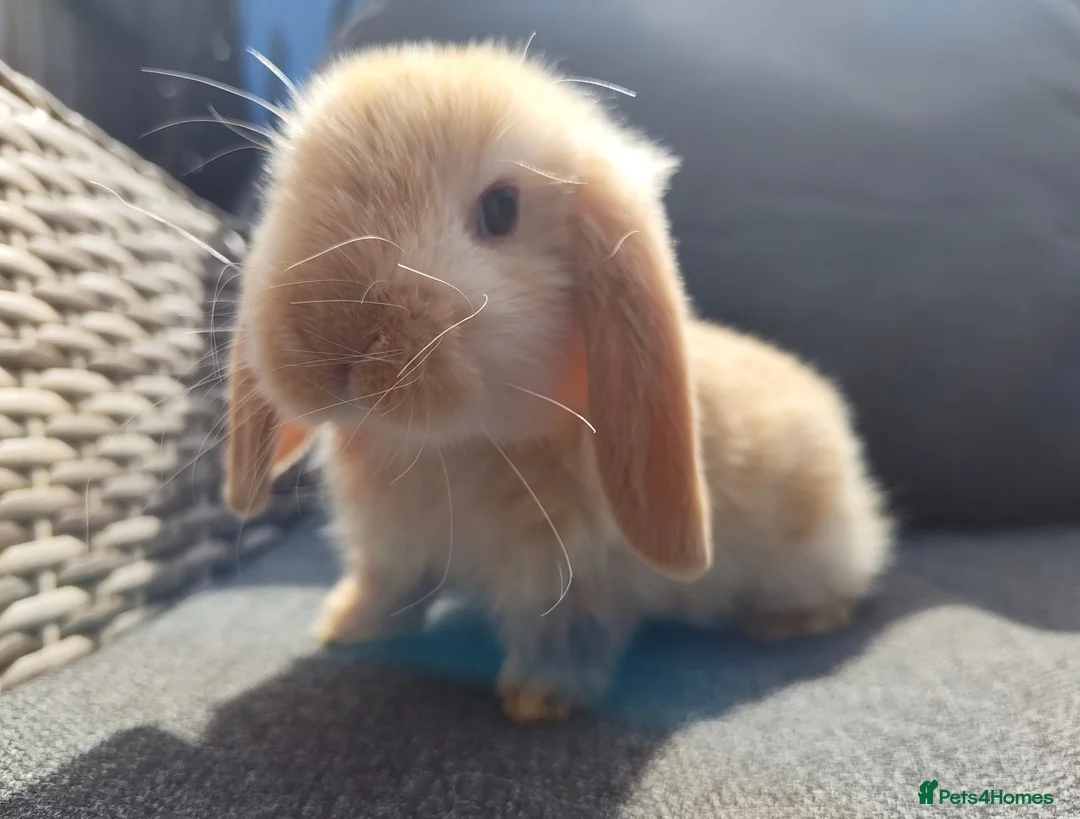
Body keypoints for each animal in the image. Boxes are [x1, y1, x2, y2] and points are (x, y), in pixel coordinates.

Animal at [223, 40, 894, 723]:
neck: (449, 446)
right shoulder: (392, 548)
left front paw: (538, 700)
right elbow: (386, 587)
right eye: (290, 193)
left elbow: (565, 634)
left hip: (818, 551)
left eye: (501, 209)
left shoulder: (573, 575)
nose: (334, 345)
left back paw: (788, 623)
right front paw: (343, 626)